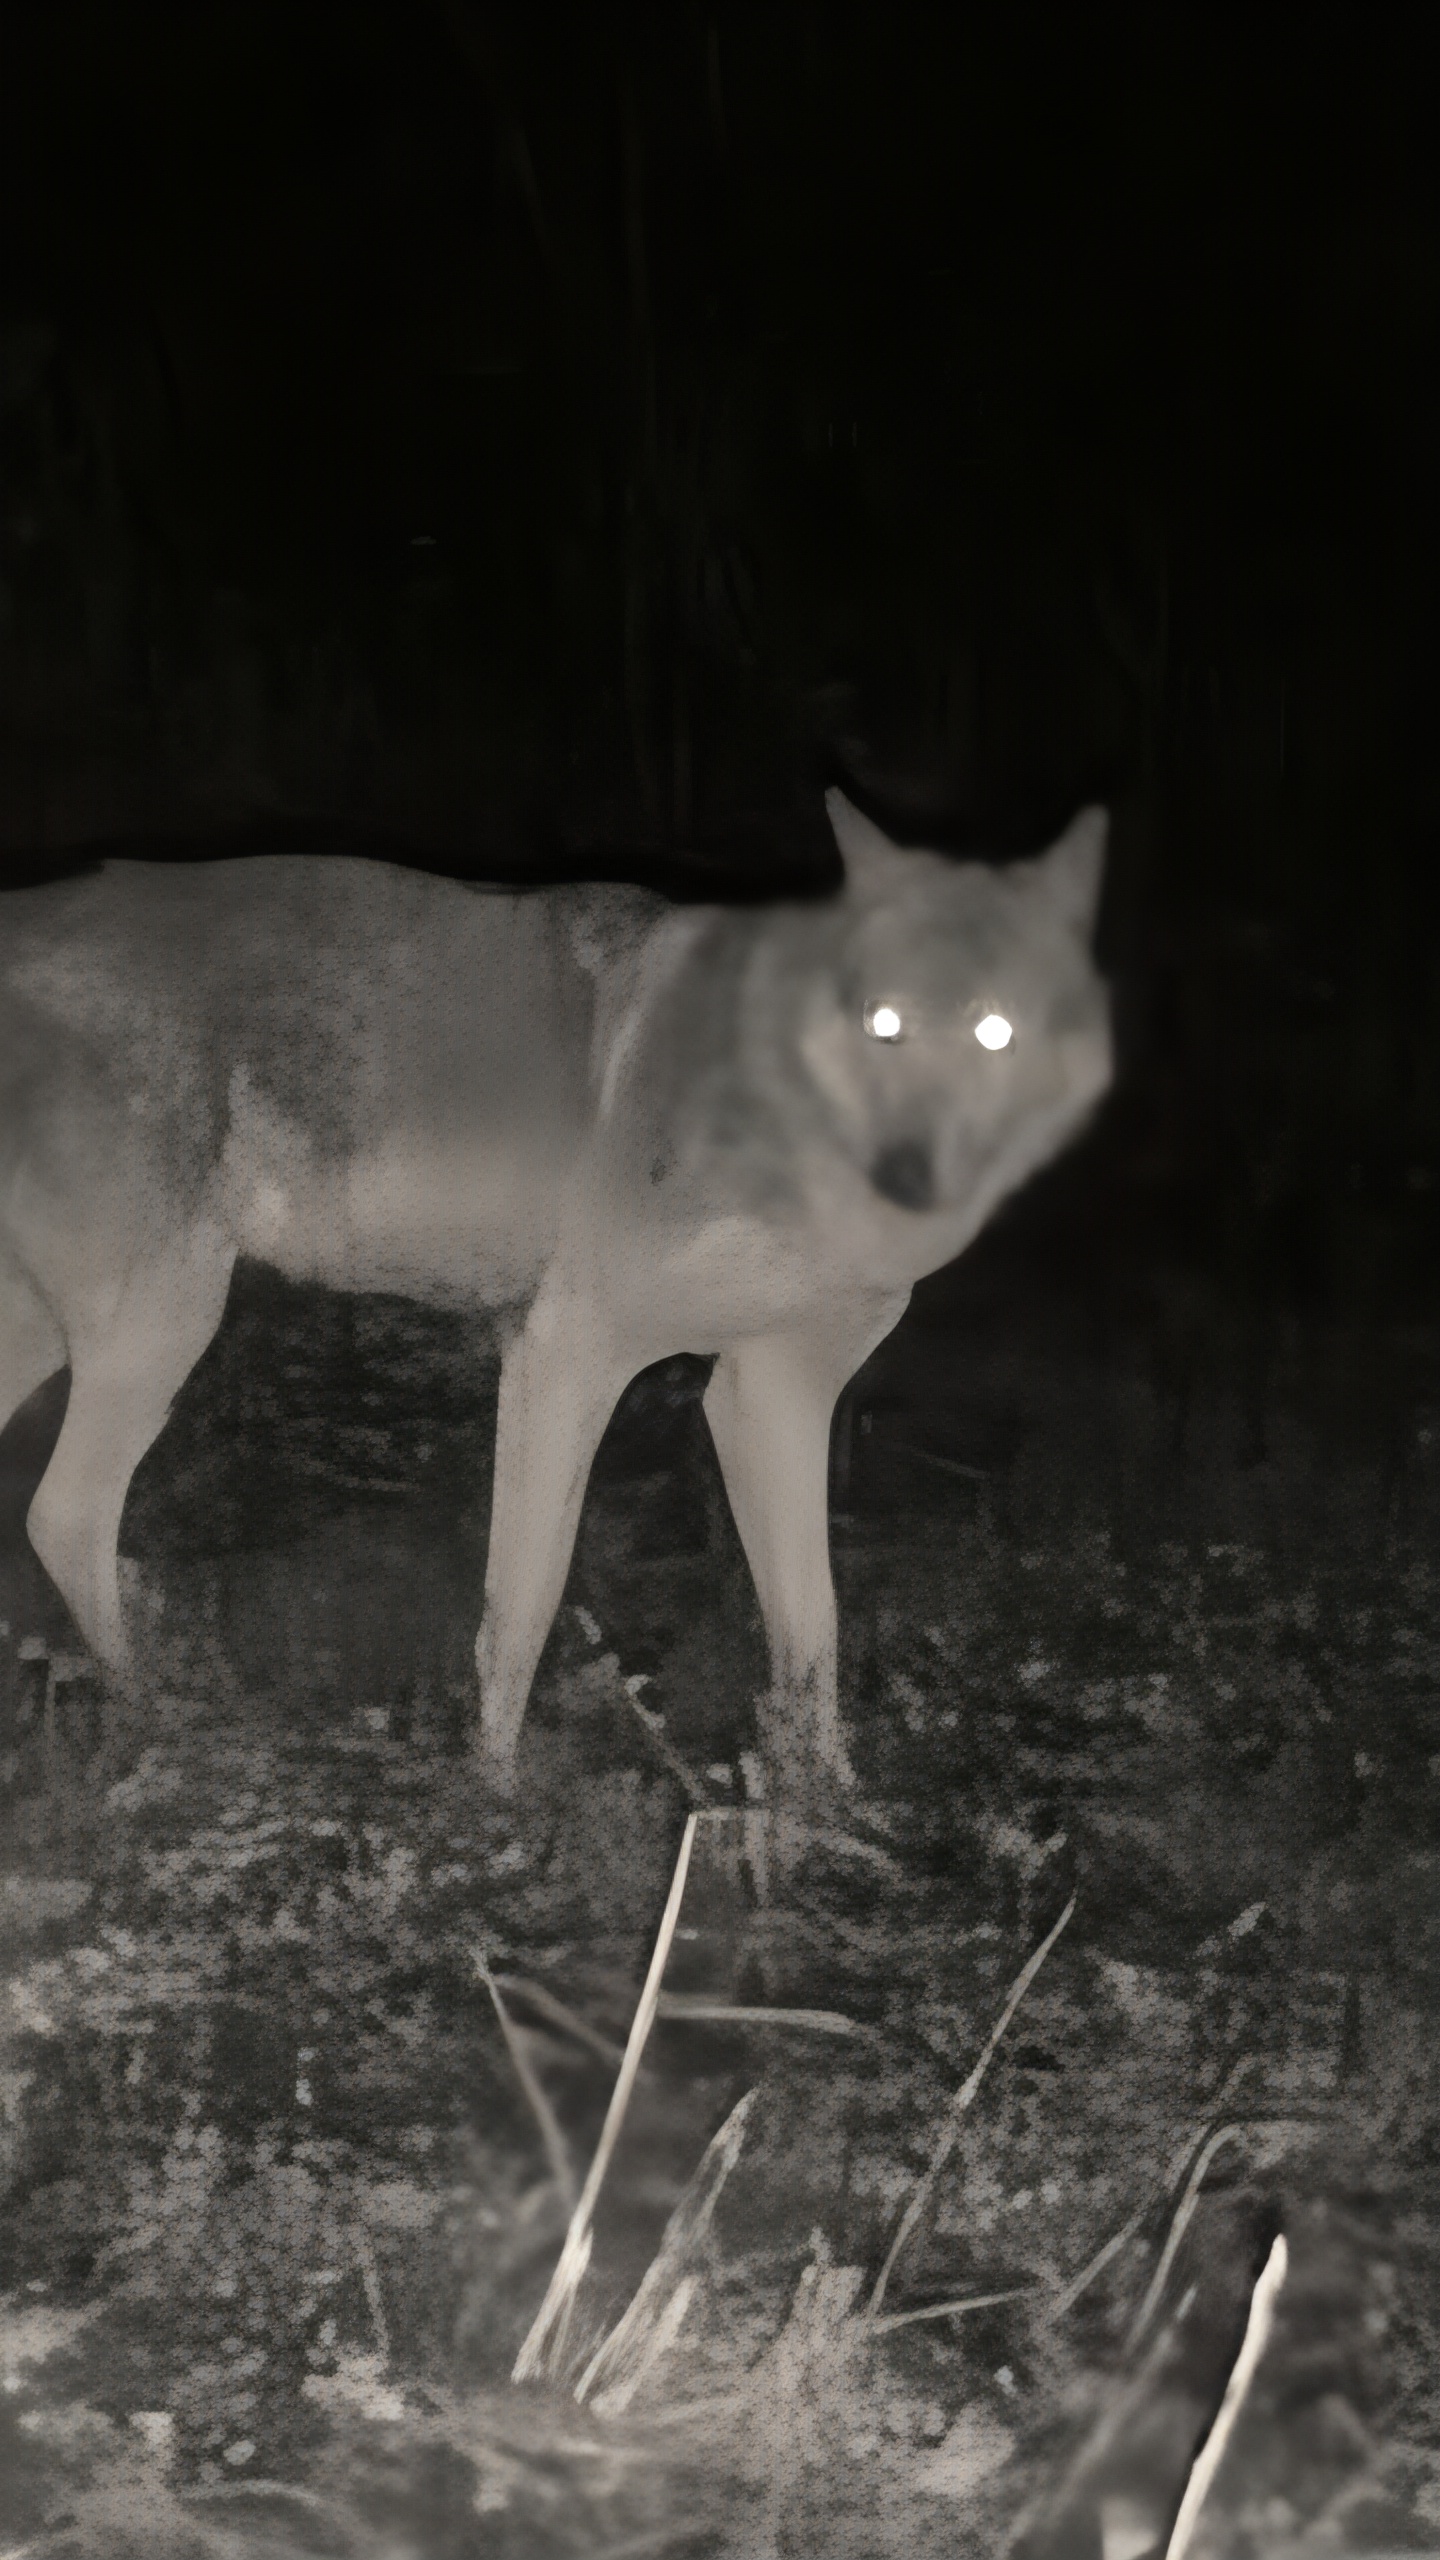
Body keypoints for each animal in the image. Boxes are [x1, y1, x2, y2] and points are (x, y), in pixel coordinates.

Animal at [0, 788, 1112, 1792]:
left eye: (997, 1031)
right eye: (883, 1021)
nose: (911, 1172)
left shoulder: (770, 1391)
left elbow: (812, 1628)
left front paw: (834, 1820)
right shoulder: (569, 1348)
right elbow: (522, 1601)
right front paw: (492, 1804)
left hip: (73, 1335)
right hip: (161, 1321)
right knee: (65, 1513)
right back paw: (177, 1724)